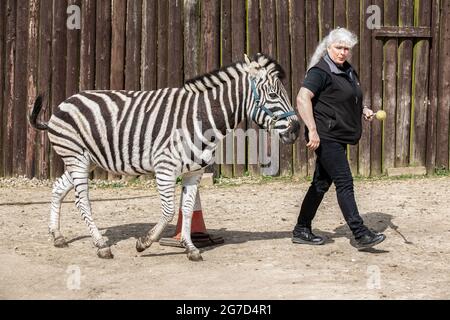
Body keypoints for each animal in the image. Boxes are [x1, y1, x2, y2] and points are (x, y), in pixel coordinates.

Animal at [29, 53, 300, 262]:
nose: (297, 130)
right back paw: (101, 246)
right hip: (77, 157)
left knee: (58, 187)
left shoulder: (194, 172)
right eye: (273, 95)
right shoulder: (165, 168)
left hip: (86, 160)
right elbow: (170, 210)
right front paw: (144, 243)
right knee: (81, 200)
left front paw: (191, 249)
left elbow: (188, 210)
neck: (201, 117)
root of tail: (66, 101)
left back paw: (58, 236)